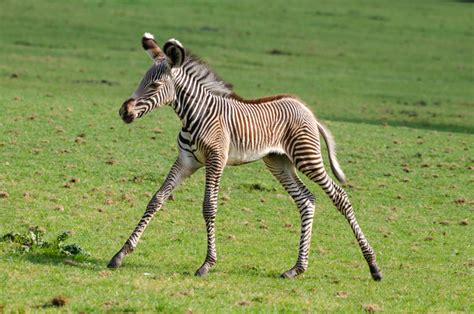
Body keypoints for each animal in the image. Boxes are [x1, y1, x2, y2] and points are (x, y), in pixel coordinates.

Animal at [107, 31, 382, 280]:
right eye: (141, 81)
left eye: (154, 85)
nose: (124, 112)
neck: (194, 115)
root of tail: (306, 109)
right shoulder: (186, 160)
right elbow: (157, 199)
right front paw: (120, 254)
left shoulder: (216, 160)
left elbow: (209, 207)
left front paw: (207, 264)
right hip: (278, 162)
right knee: (306, 200)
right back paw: (296, 269)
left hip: (306, 157)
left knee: (340, 197)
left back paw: (374, 267)